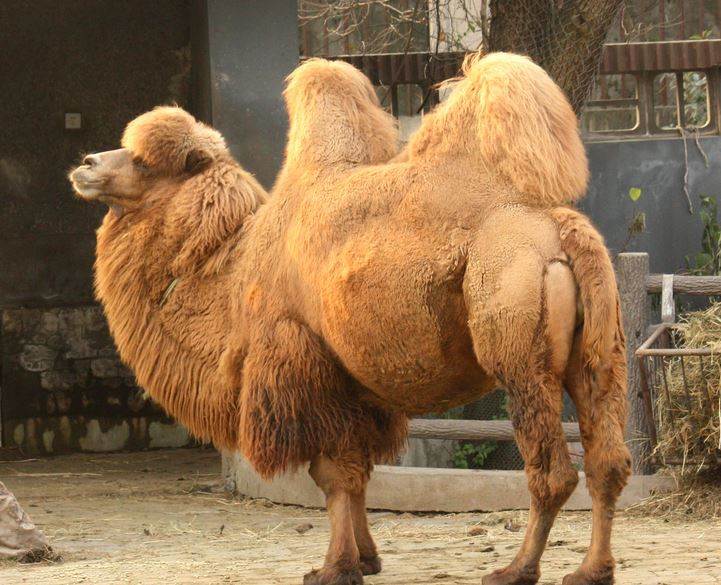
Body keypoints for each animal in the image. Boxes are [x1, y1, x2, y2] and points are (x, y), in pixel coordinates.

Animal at [68, 51, 631, 585]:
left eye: (144, 162)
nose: (86, 163)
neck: (232, 274)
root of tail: (560, 229)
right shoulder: (356, 385)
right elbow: (358, 475)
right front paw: (366, 557)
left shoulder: (303, 366)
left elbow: (332, 475)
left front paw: (334, 568)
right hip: (599, 356)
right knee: (607, 462)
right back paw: (591, 570)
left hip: (518, 349)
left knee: (552, 471)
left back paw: (517, 569)